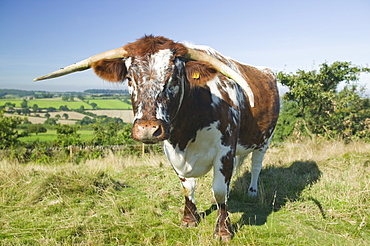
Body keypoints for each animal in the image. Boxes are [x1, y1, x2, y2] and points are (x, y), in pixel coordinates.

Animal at [34, 35, 278, 241]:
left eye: (174, 78)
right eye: (129, 78)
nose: (148, 130)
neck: (186, 133)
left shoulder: (225, 150)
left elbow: (218, 190)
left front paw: (223, 230)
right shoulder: (173, 153)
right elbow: (187, 187)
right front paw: (189, 219)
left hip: (264, 141)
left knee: (256, 166)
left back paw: (252, 192)